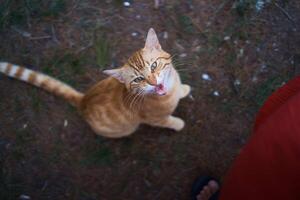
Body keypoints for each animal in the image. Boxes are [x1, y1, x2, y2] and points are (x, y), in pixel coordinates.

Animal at [0, 28, 191, 138]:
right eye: (138, 79)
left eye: (153, 66)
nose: (152, 82)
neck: (170, 91)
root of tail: (83, 99)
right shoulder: (155, 119)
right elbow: (169, 122)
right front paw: (179, 124)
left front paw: (184, 89)